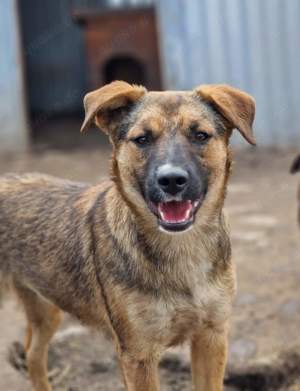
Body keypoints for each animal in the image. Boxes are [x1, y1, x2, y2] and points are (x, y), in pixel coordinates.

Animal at [0, 81, 255, 390]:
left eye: (200, 135)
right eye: (142, 139)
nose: (171, 180)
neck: (181, 250)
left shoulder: (212, 337)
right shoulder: (137, 354)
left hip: (46, 307)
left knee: (33, 355)